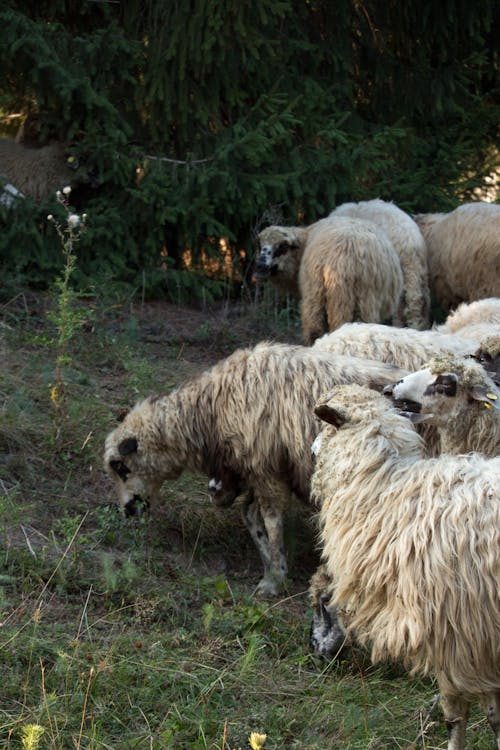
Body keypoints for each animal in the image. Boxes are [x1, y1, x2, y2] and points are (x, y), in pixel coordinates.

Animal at [102, 344, 406, 596]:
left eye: (120, 466)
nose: (128, 510)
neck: (210, 411)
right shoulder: (253, 471)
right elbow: (249, 515)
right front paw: (271, 564)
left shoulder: (267, 470)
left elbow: (271, 521)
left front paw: (274, 579)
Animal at [256, 216, 404, 346]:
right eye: (261, 246)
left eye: (282, 247)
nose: (260, 266)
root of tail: (340, 260)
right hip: (356, 301)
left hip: (316, 296)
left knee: (314, 331)